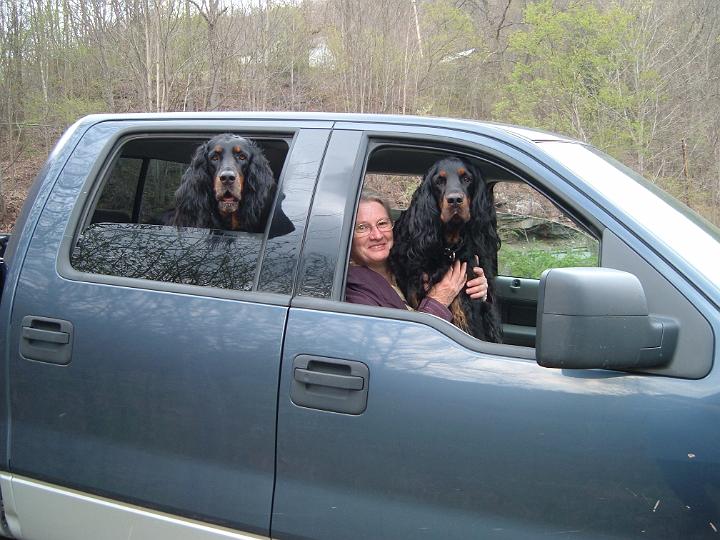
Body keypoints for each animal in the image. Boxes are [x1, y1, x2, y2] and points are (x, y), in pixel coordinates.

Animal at [390, 156, 504, 342]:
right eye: (439, 181)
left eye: (467, 178)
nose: (455, 200)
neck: (447, 248)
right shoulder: (414, 290)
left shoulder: (466, 300)